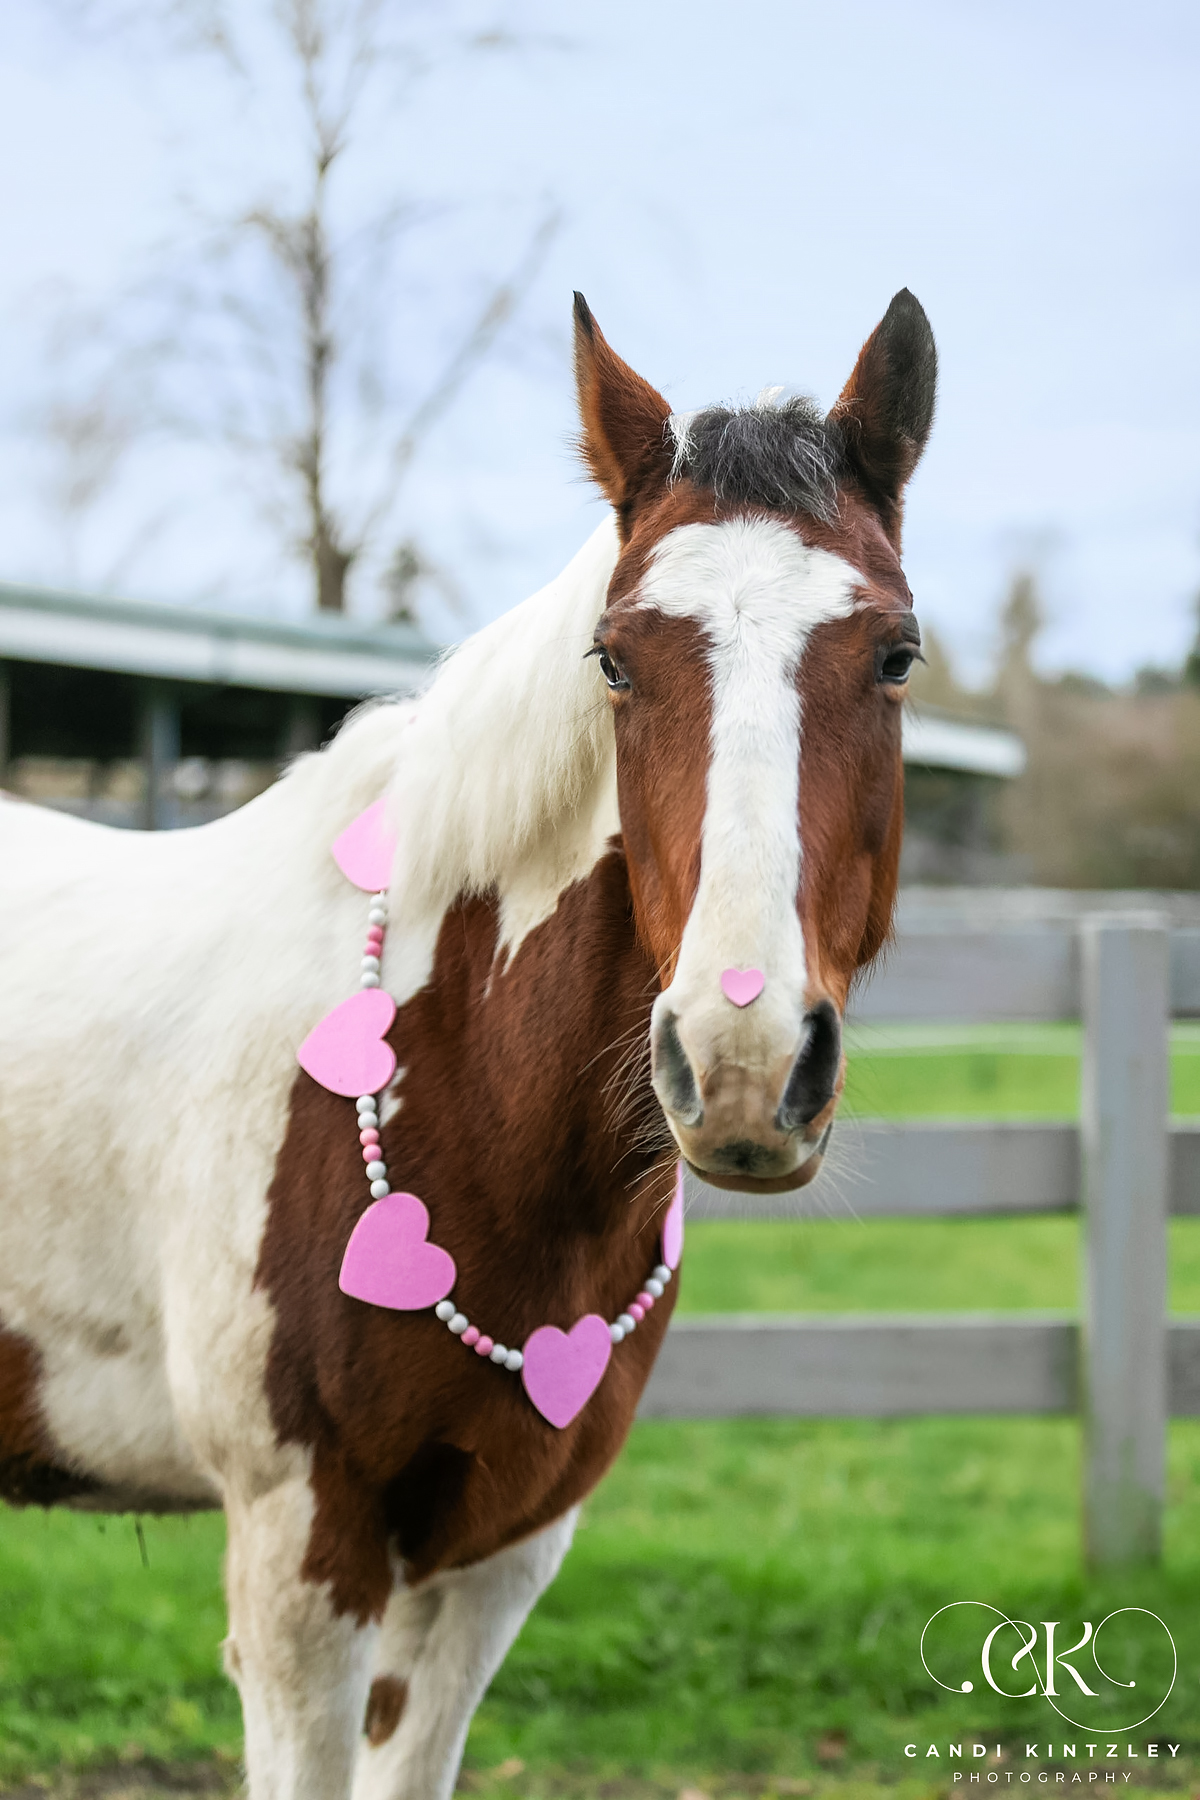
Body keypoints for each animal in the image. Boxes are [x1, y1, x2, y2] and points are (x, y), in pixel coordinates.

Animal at [0, 288, 936, 1799]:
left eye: (897, 654)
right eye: (616, 658)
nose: (741, 1062)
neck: (450, 1080)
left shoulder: (498, 1555)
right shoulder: (302, 1566)